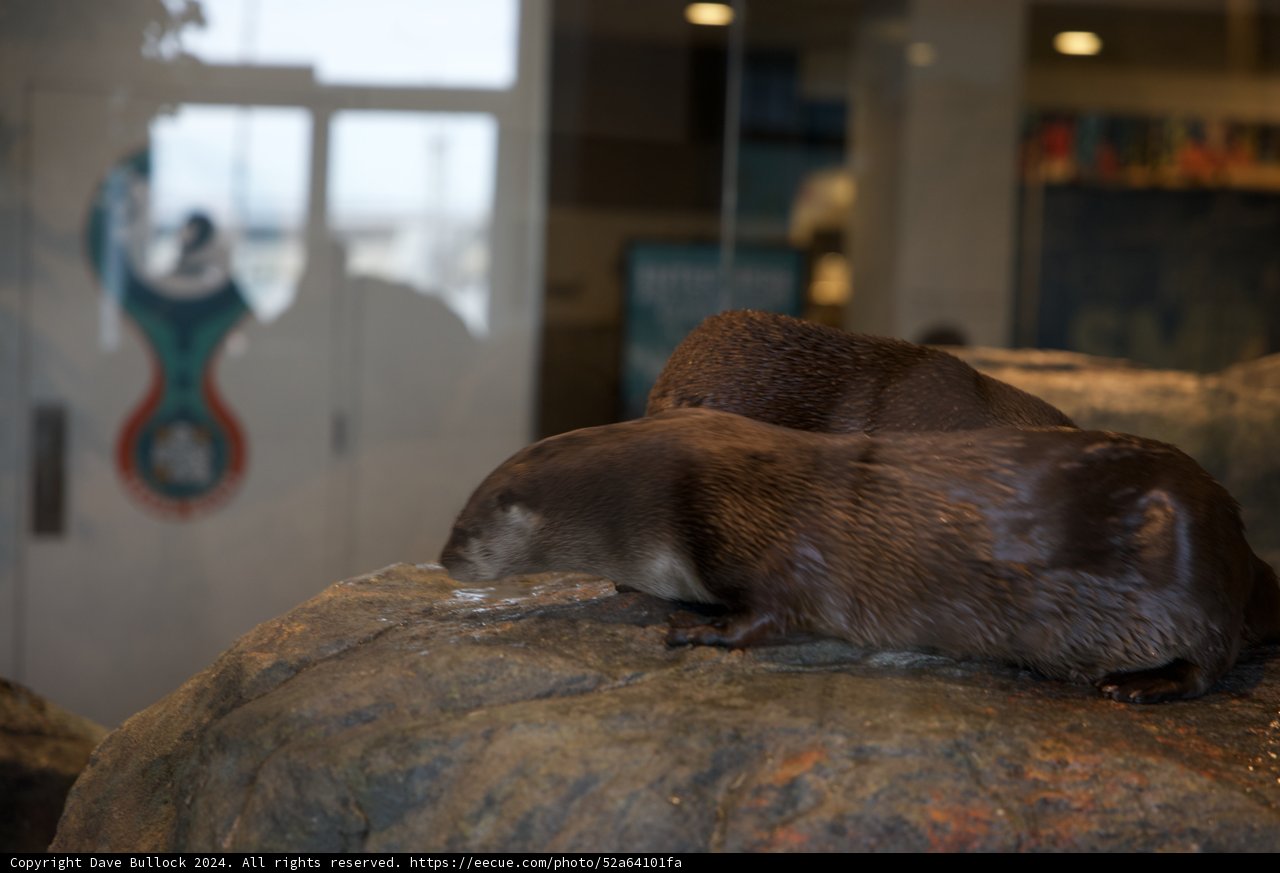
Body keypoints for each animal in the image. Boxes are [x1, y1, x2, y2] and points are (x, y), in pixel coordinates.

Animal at [441, 409, 1280, 703]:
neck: (662, 498)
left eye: (464, 525)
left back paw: (1136, 685)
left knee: (1212, 662)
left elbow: (773, 613)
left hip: (1189, 578)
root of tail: (1241, 544)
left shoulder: (761, 535)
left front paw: (698, 631)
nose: (445, 560)